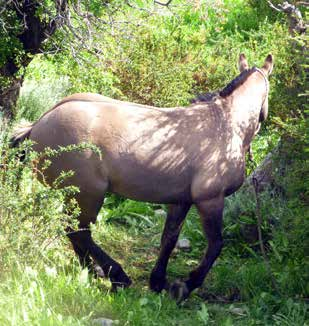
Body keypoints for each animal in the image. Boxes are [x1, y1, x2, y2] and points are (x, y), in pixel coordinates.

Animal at [11, 54, 272, 304]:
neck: (224, 123)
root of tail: (38, 124)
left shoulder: (181, 201)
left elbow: (169, 238)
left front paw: (158, 282)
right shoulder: (210, 200)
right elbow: (215, 245)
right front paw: (184, 286)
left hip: (77, 196)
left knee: (75, 231)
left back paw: (93, 271)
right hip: (88, 195)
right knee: (78, 232)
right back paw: (117, 276)